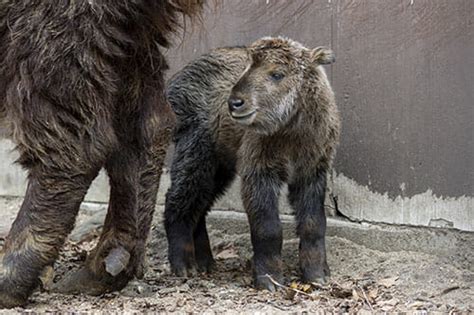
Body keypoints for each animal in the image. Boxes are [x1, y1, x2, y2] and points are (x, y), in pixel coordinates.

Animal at [165, 37, 338, 292]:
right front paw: (269, 280)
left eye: (277, 74)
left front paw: (317, 275)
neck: (291, 132)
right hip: (196, 149)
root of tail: (176, 83)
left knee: (200, 203)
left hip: (221, 164)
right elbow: (267, 228)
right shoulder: (258, 169)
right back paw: (183, 264)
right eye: (247, 68)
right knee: (180, 197)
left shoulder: (312, 170)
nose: (235, 102)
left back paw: (205, 261)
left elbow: (313, 223)